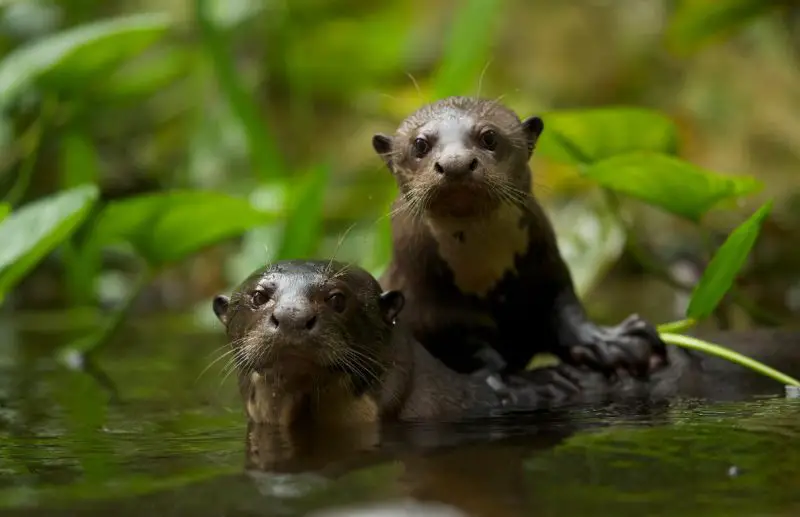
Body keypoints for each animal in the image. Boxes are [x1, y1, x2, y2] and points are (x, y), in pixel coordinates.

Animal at [371, 96, 668, 396]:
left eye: (489, 136)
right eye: (420, 144)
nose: (455, 163)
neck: (487, 276)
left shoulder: (547, 267)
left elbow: (565, 311)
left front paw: (614, 342)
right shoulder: (426, 302)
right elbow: (464, 345)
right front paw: (522, 379)